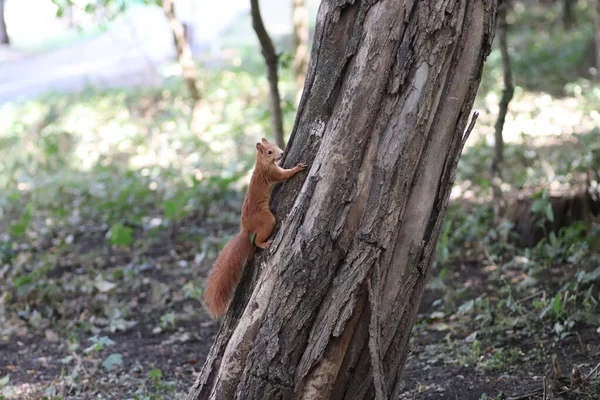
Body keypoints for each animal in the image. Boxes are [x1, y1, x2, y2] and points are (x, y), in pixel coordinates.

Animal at [204, 139, 308, 318]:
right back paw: (264, 244)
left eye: (275, 146)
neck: (261, 164)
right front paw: (297, 168)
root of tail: (246, 229)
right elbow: (285, 175)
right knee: (258, 240)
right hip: (267, 220)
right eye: (269, 152)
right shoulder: (273, 174)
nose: (282, 153)